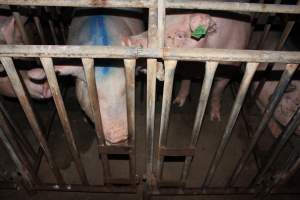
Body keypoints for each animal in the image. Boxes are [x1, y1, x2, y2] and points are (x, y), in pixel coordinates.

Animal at [123, 9, 252, 121]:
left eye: (180, 35)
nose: (128, 40)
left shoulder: (230, 71)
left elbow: (217, 91)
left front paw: (215, 118)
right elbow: (185, 81)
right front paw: (177, 103)